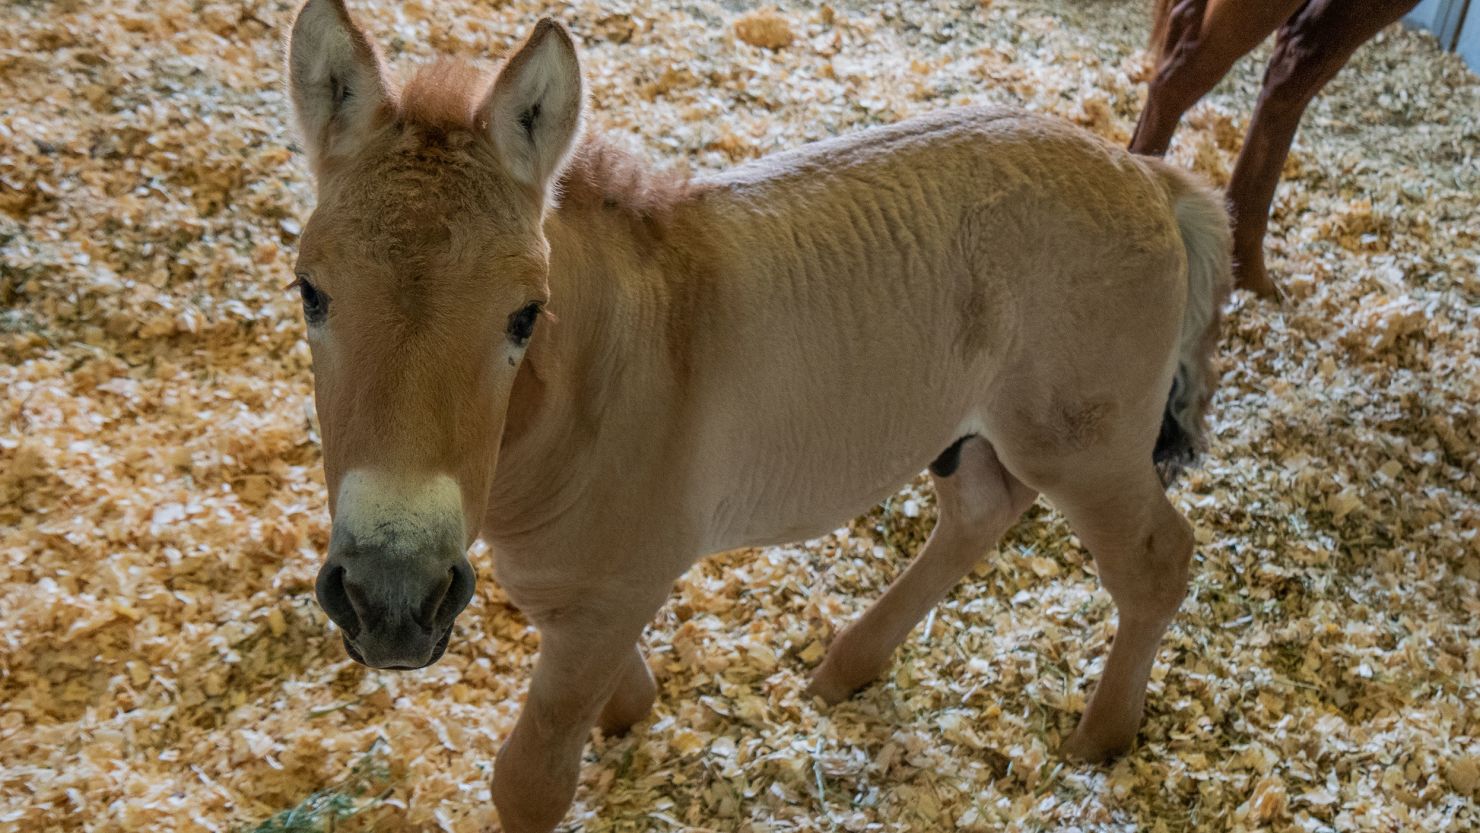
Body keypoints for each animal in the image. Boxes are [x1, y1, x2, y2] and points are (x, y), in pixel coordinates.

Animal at [282, 3, 1231, 828]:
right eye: (309, 291)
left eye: (524, 314)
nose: (390, 598)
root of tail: (1147, 176)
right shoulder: (567, 584)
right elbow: (607, 681)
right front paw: (633, 712)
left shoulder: (614, 592)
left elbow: (532, 778)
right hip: (969, 432)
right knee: (981, 511)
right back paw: (849, 666)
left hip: (1083, 445)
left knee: (1156, 559)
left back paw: (1100, 736)